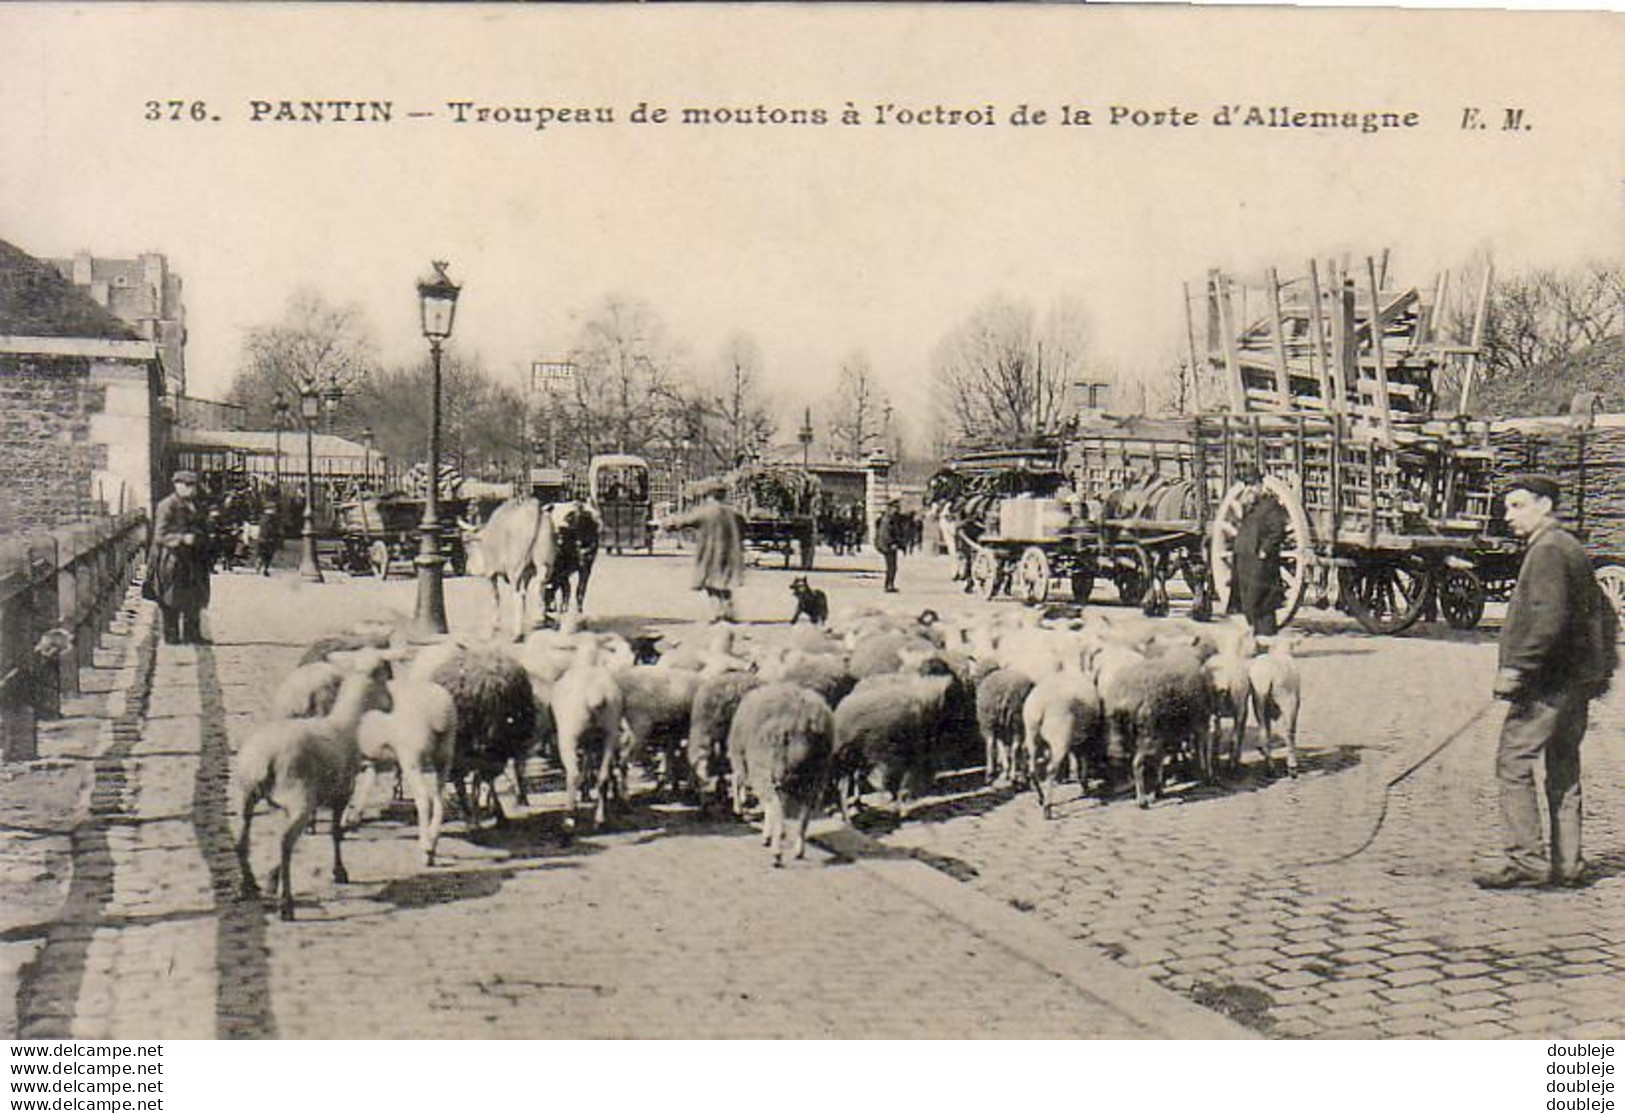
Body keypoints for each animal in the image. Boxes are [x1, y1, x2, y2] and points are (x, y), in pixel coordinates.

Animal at [235, 649, 393, 922]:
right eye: (386, 680)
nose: (393, 705)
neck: (346, 724)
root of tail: (264, 757)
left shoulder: (287, 806)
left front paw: (271, 879)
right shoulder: (342, 794)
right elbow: (335, 833)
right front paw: (339, 872)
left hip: (248, 795)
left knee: (242, 843)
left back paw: (249, 886)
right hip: (298, 797)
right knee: (285, 843)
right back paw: (286, 905)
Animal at [728, 675, 832, 870]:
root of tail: (804, 720)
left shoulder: (749, 763)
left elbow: (738, 781)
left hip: (772, 768)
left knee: (776, 807)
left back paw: (776, 853)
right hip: (814, 776)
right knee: (804, 812)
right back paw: (798, 849)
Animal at [1248, 636, 1300, 776]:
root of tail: (1267, 676)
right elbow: (1290, 730)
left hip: (1258, 700)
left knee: (1264, 730)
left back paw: (1268, 765)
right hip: (1287, 699)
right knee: (1289, 732)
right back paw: (1292, 766)